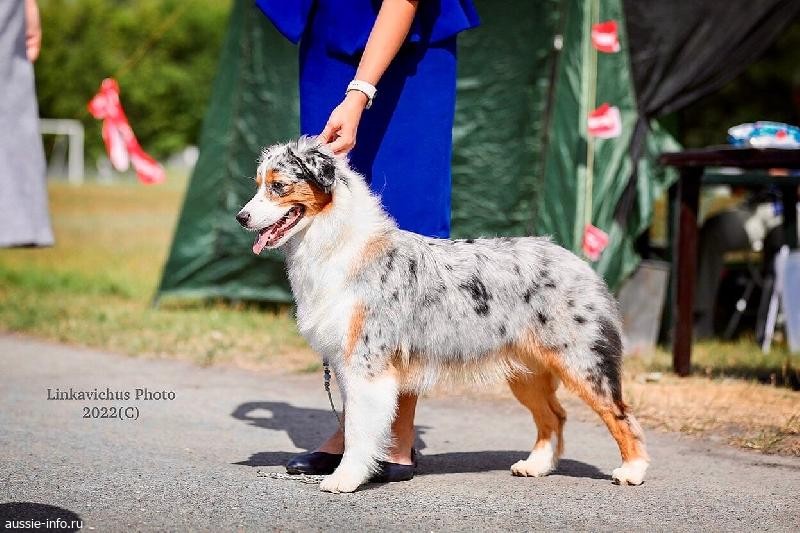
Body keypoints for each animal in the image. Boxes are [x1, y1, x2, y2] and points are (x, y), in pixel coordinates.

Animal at [236, 137, 649, 493]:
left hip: (582, 359)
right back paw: (536, 465)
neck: (336, 242)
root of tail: (577, 261)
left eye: (278, 186)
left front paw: (345, 478)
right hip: (526, 372)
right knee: (554, 415)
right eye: (258, 184)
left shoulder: (367, 364)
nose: (241, 217)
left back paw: (632, 470)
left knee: (620, 414)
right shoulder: (345, 362)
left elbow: (358, 429)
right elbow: (353, 421)